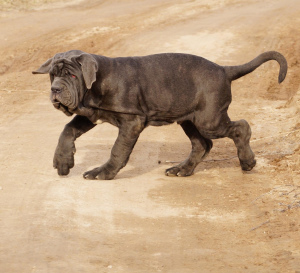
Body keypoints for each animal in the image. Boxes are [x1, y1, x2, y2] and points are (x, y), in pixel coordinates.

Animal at [32, 50, 286, 180]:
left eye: (73, 76)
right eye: (52, 75)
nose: (55, 89)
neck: (95, 85)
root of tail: (224, 70)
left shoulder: (132, 121)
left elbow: (117, 150)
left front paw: (103, 172)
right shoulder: (89, 114)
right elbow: (67, 131)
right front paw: (63, 160)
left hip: (209, 120)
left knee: (241, 127)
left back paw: (247, 161)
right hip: (190, 119)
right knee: (202, 144)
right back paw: (182, 169)